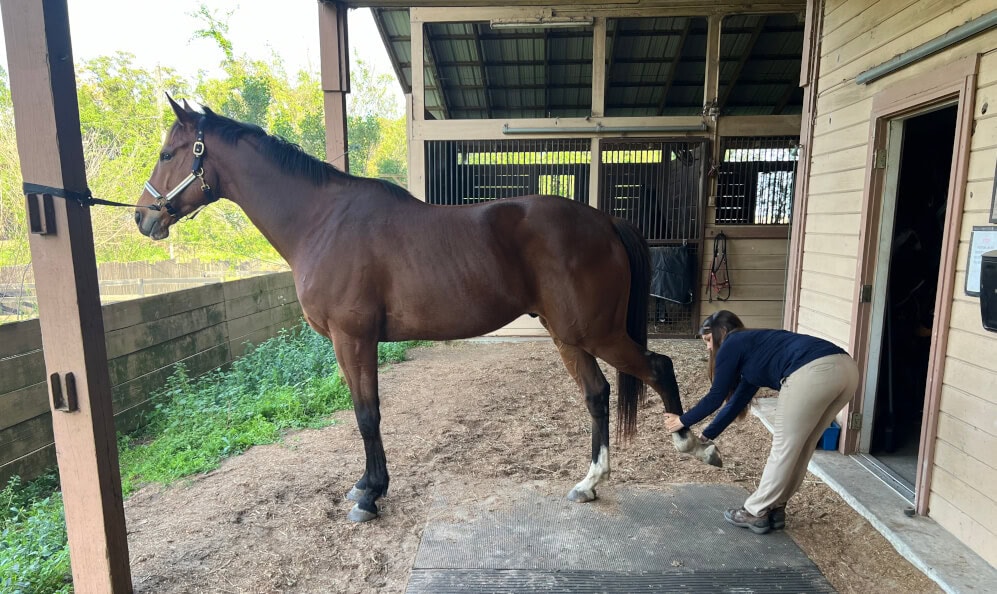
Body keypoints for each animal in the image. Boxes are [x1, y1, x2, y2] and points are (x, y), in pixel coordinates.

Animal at [134, 96, 723, 523]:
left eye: (167, 154)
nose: (143, 218)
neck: (322, 221)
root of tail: (605, 221)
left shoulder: (353, 338)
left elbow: (366, 414)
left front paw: (369, 497)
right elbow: (366, 412)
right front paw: (367, 486)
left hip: (595, 332)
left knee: (658, 369)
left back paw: (694, 446)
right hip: (567, 335)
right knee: (598, 395)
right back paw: (589, 483)